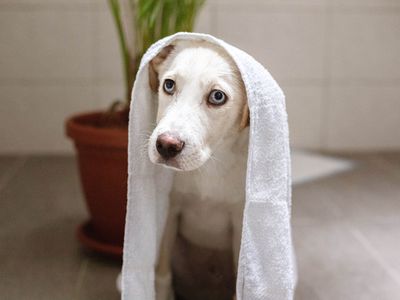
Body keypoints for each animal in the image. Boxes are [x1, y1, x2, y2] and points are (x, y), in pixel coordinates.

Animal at [148, 40, 248, 300]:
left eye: (217, 96)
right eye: (169, 85)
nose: (166, 145)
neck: (209, 166)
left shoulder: (240, 225)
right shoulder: (171, 212)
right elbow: (162, 276)